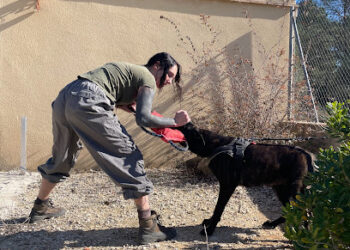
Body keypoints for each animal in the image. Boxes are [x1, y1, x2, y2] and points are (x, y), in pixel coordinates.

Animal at [176, 122, 314, 235]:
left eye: (182, 128)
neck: (215, 144)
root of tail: (305, 154)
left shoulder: (227, 186)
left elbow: (218, 208)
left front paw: (210, 229)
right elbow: (216, 209)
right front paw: (209, 222)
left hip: (293, 190)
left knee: (302, 211)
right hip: (281, 189)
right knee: (292, 210)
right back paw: (273, 224)